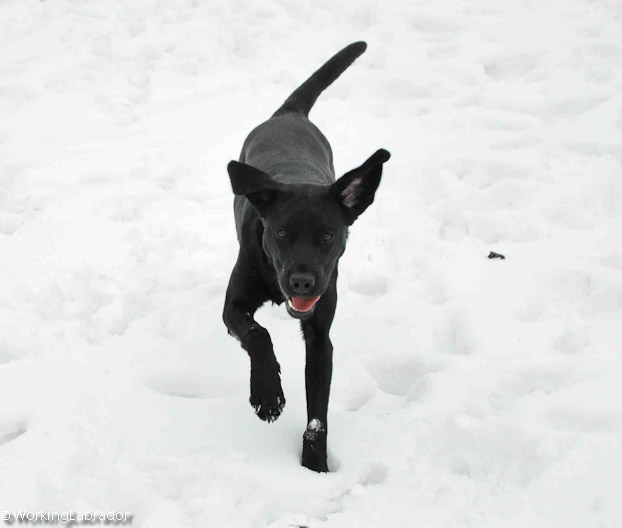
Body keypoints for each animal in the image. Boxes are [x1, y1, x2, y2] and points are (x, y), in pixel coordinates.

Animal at [223, 41, 390, 472]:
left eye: (329, 235)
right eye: (281, 233)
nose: (301, 281)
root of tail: (289, 113)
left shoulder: (320, 336)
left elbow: (319, 411)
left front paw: (315, 464)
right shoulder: (233, 306)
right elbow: (258, 333)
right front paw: (267, 393)